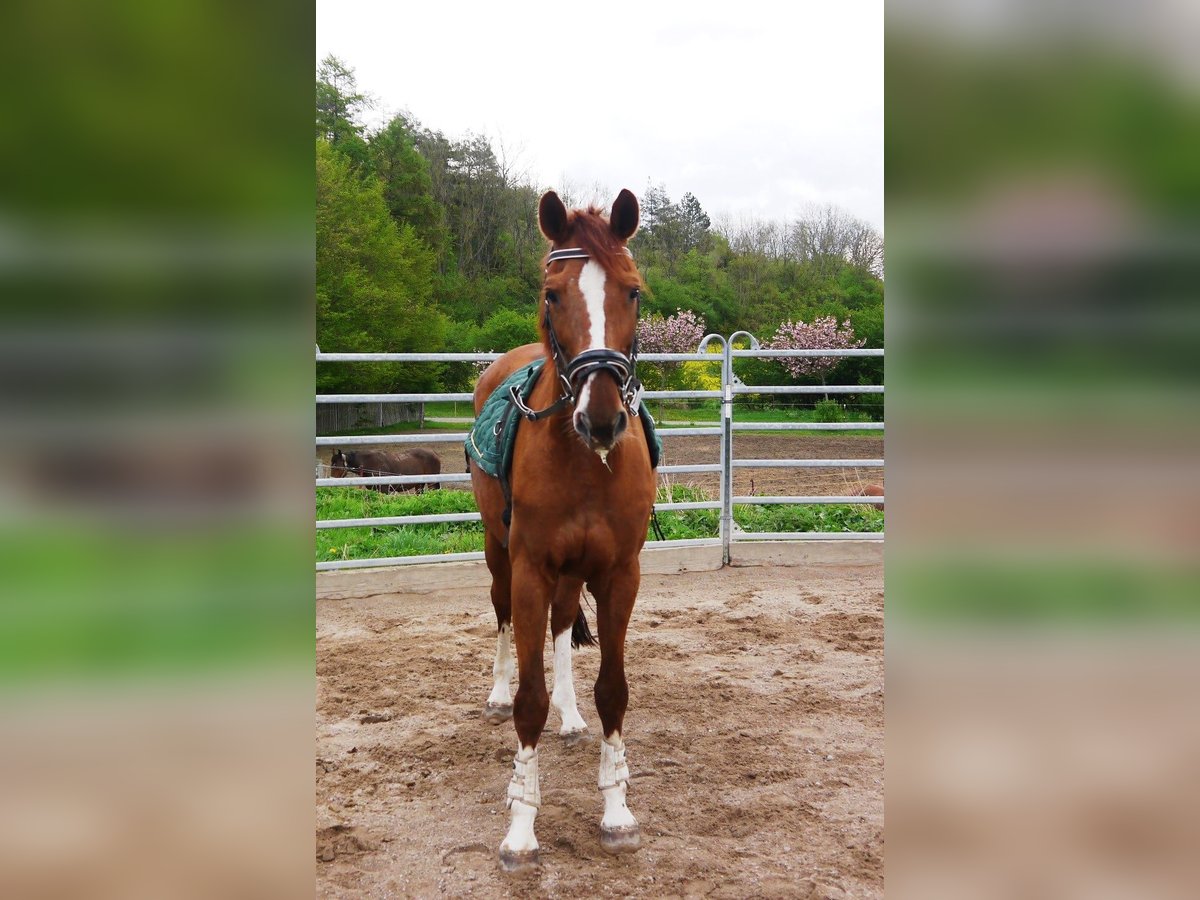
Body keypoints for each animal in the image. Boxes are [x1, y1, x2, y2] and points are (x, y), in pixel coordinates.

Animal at [468, 190, 657, 873]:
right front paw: (521, 827)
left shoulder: (619, 573)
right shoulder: (529, 568)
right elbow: (529, 700)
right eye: (553, 294)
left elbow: (612, 690)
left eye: (632, 290)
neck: (584, 461)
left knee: (561, 625)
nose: (600, 418)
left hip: (574, 571)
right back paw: (497, 693)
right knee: (501, 614)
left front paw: (618, 812)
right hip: (497, 552)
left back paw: (570, 716)